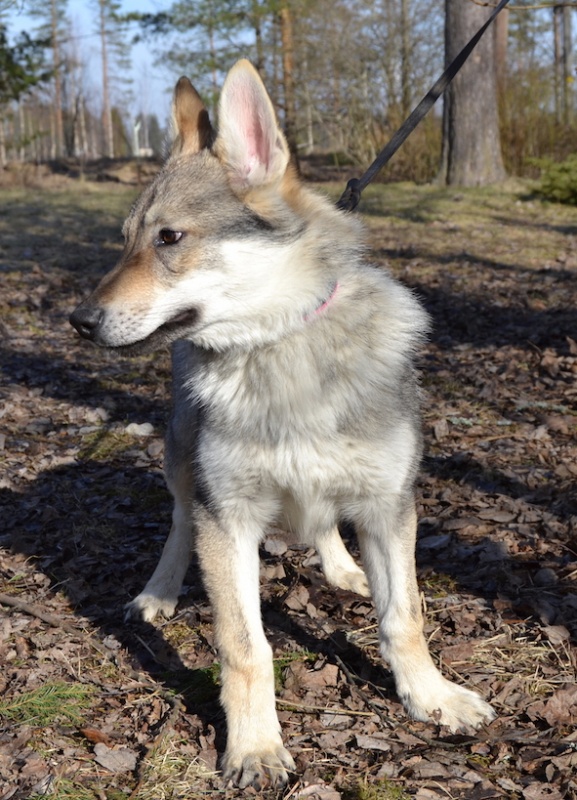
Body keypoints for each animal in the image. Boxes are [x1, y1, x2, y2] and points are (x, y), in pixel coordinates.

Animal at [70, 59, 492, 792]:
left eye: (168, 238)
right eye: (124, 241)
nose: (79, 322)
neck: (278, 348)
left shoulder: (389, 506)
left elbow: (404, 617)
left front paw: (431, 697)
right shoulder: (225, 518)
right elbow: (245, 648)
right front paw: (255, 748)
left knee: (323, 523)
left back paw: (344, 568)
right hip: (181, 467)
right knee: (177, 525)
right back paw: (158, 592)